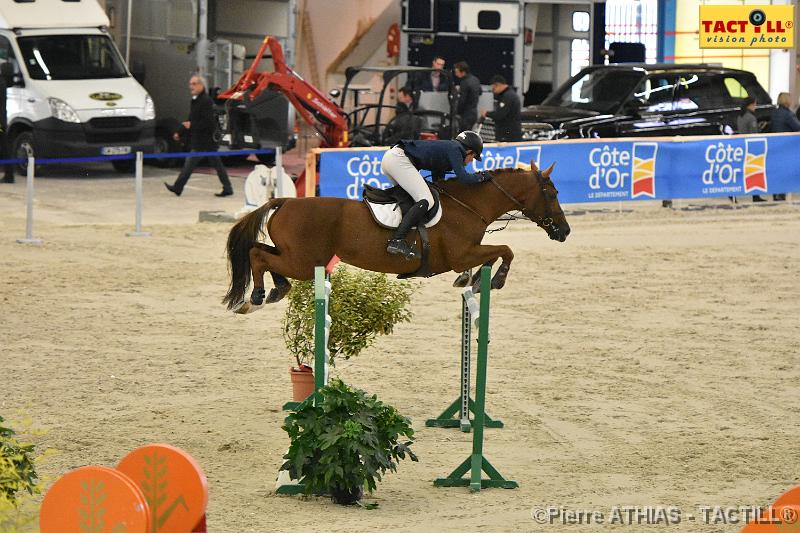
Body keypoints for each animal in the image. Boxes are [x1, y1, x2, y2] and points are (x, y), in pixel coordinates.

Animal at [225, 160, 568, 314]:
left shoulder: (469, 252)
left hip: (297, 256)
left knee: (259, 250)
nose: (564, 231)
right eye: (552, 193)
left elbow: (496, 252)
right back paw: (258, 294)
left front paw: (473, 281)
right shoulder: (462, 254)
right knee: (258, 255)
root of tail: (285, 200)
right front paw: (494, 281)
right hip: (303, 260)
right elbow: (506, 249)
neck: (469, 204)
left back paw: (275, 289)